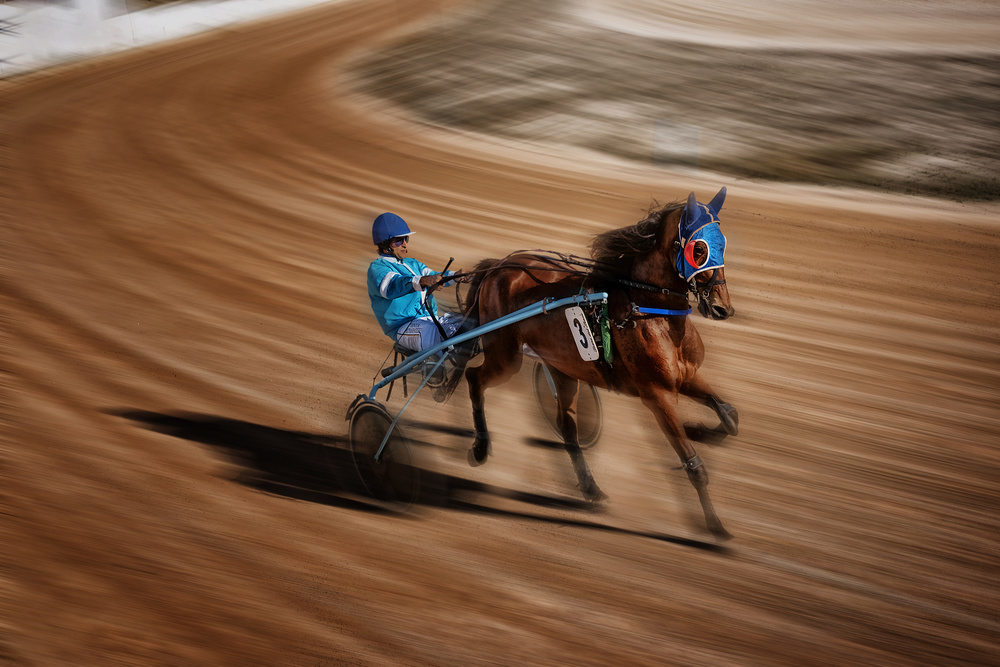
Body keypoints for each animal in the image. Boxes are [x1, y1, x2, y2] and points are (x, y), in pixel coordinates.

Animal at [464, 187, 740, 536]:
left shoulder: (687, 377)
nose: (722, 308)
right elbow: (695, 466)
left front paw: (697, 430)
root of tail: (499, 265)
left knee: (567, 429)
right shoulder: (657, 394)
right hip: (505, 355)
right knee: (474, 378)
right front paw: (715, 527)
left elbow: (730, 415)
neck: (651, 310)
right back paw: (480, 448)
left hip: (563, 369)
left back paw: (591, 488)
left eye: (723, 243)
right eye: (699, 249)